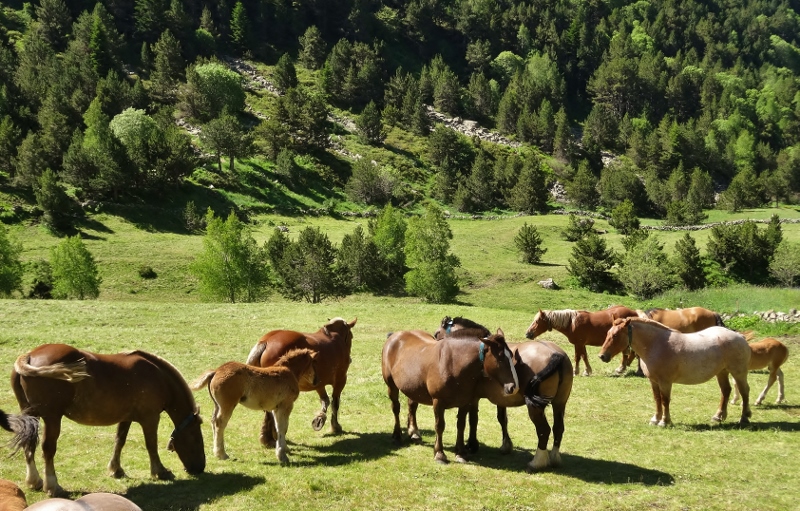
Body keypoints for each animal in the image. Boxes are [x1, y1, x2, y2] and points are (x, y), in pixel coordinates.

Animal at [11, 344, 205, 497]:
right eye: (196, 438)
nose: (200, 468)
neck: (158, 376)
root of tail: (29, 356)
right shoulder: (150, 418)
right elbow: (151, 445)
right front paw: (160, 472)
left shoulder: (126, 418)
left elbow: (119, 441)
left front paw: (116, 469)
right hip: (52, 418)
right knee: (48, 449)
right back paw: (53, 486)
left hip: (32, 416)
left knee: (29, 445)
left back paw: (34, 481)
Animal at [245, 318, 356, 446]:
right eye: (351, 337)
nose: (350, 360)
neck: (334, 336)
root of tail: (265, 341)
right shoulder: (340, 380)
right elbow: (335, 403)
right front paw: (335, 426)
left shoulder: (318, 383)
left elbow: (325, 400)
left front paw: (320, 419)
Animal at [381, 328, 520, 463]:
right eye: (500, 358)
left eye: (511, 355)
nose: (513, 387)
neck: (453, 363)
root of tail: (394, 336)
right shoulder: (438, 402)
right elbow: (439, 426)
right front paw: (439, 454)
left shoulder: (465, 402)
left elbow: (461, 425)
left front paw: (460, 453)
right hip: (391, 386)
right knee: (396, 408)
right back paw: (397, 435)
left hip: (413, 387)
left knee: (412, 406)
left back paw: (414, 432)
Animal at [434, 317, 574, 472]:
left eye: (437, 333)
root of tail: (556, 354)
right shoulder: (501, 399)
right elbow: (502, 419)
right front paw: (506, 445)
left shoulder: (473, 398)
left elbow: (473, 419)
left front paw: (472, 444)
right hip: (560, 403)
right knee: (558, 428)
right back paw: (554, 457)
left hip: (535, 407)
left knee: (544, 430)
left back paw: (537, 462)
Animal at [598, 317, 752, 426]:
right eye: (608, 333)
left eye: (616, 335)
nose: (602, 356)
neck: (656, 345)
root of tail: (740, 337)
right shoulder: (653, 381)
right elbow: (657, 399)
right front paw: (655, 419)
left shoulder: (665, 382)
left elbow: (665, 400)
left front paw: (664, 421)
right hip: (722, 372)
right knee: (725, 391)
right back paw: (718, 416)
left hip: (738, 372)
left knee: (744, 391)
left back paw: (744, 418)